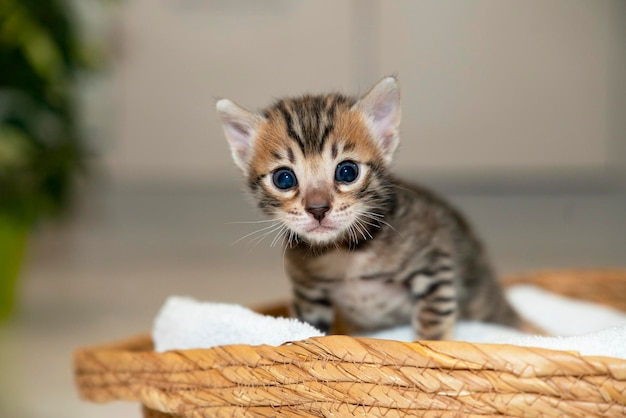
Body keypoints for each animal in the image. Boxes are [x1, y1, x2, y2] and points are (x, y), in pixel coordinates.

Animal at [217, 77, 524, 340]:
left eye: (347, 171)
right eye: (284, 178)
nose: (318, 209)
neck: (345, 253)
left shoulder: (435, 265)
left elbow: (433, 322)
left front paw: (430, 345)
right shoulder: (308, 294)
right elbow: (309, 332)